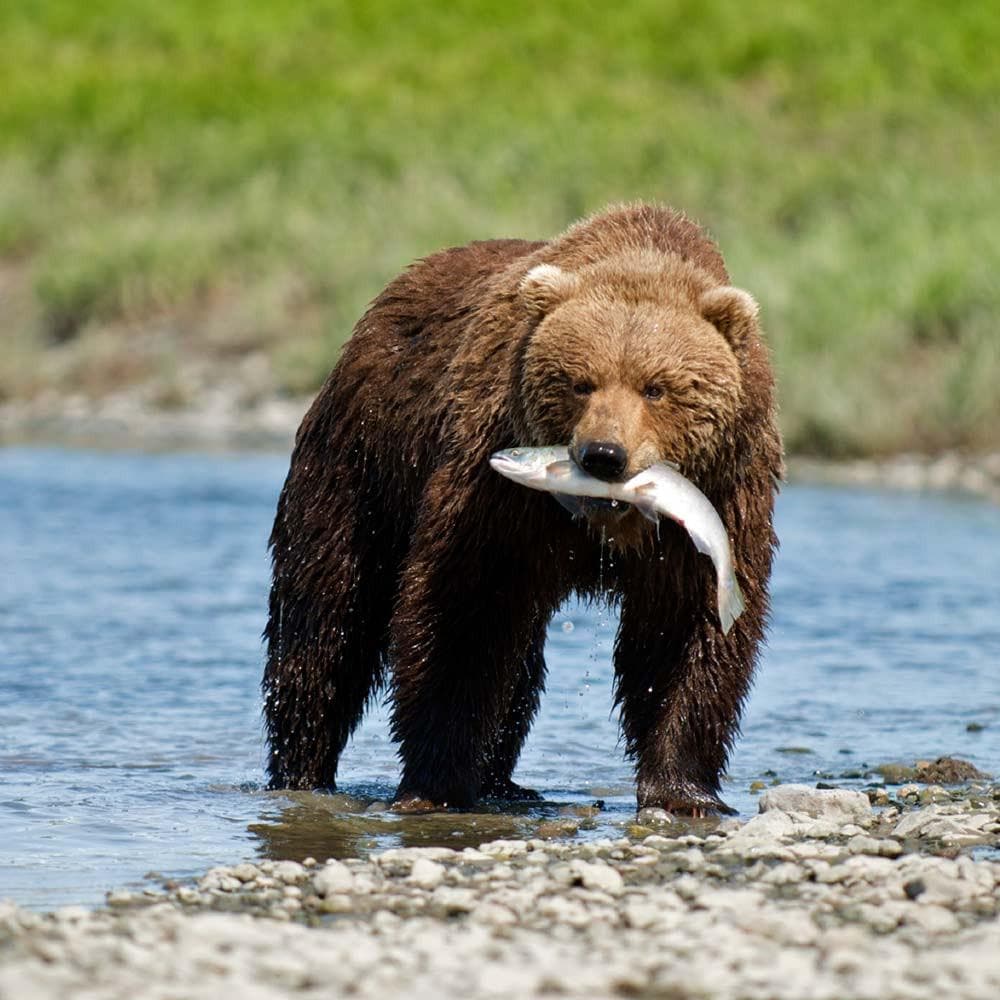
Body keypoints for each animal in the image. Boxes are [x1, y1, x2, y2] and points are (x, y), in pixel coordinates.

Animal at [263, 202, 783, 816]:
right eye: (580, 382)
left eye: (656, 387)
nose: (603, 455)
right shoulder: (493, 490)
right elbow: (461, 611)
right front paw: (434, 783)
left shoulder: (722, 500)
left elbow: (684, 632)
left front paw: (684, 790)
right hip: (362, 463)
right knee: (326, 620)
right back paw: (300, 768)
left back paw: (501, 781)